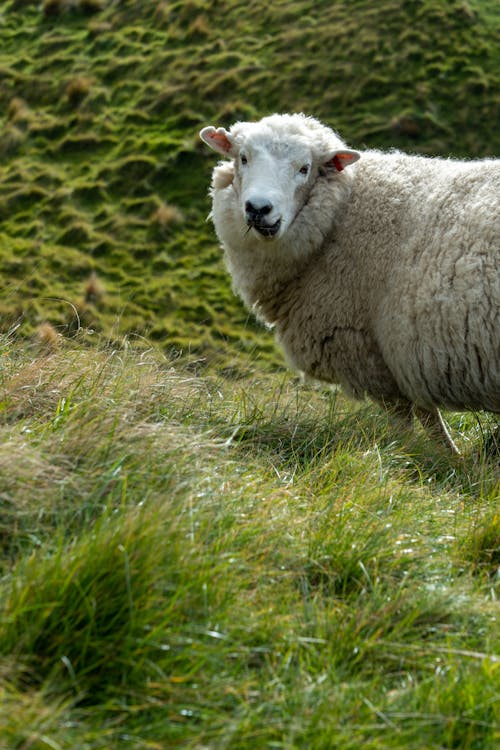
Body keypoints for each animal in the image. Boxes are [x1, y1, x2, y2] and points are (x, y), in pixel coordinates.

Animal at [200, 111, 500, 452]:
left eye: (304, 168)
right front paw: (448, 456)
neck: (341, 212)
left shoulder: (366, 350)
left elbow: (406, 418)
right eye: (243, 158)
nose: (258, 209)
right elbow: (427, 415)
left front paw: (407, 452)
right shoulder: (402, 357)